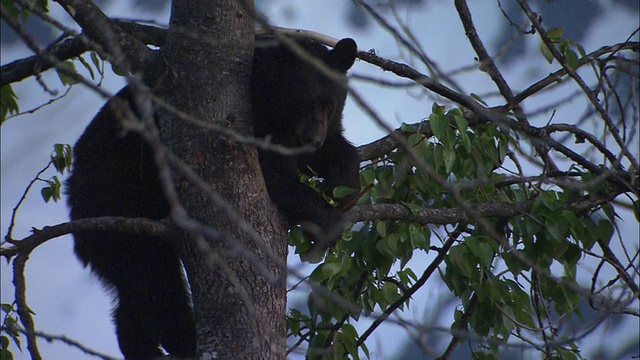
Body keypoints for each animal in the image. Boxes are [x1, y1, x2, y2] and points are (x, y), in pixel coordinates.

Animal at [69, 35, 360, 358]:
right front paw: (328, 223)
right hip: (120, 210)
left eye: (329, 104)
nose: (312, 139)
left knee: (133, 295)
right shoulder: (251, 127)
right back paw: (186, 341)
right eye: (300, 102)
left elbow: (335, 152)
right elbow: (274, 178)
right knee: (156, 284)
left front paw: (343, 186)